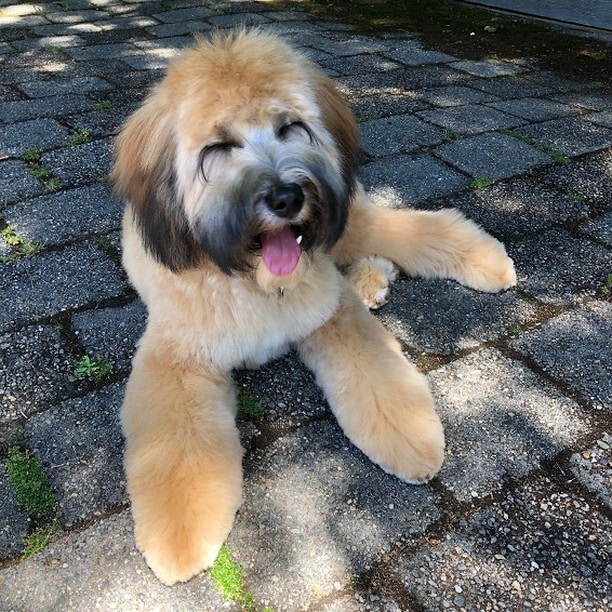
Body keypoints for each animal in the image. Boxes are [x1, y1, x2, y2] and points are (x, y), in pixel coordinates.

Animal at [111, 28, 516, 584]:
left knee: (412, 228)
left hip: (348, 224)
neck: (256, 284)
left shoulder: (330, 313)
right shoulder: (177, 360)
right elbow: (176, 450)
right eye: (218, 147)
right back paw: (374, 280)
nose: (285, 197)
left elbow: (377, 378)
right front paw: (181, 535)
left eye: (290, 128)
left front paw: (409, 435)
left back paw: (480, 260)